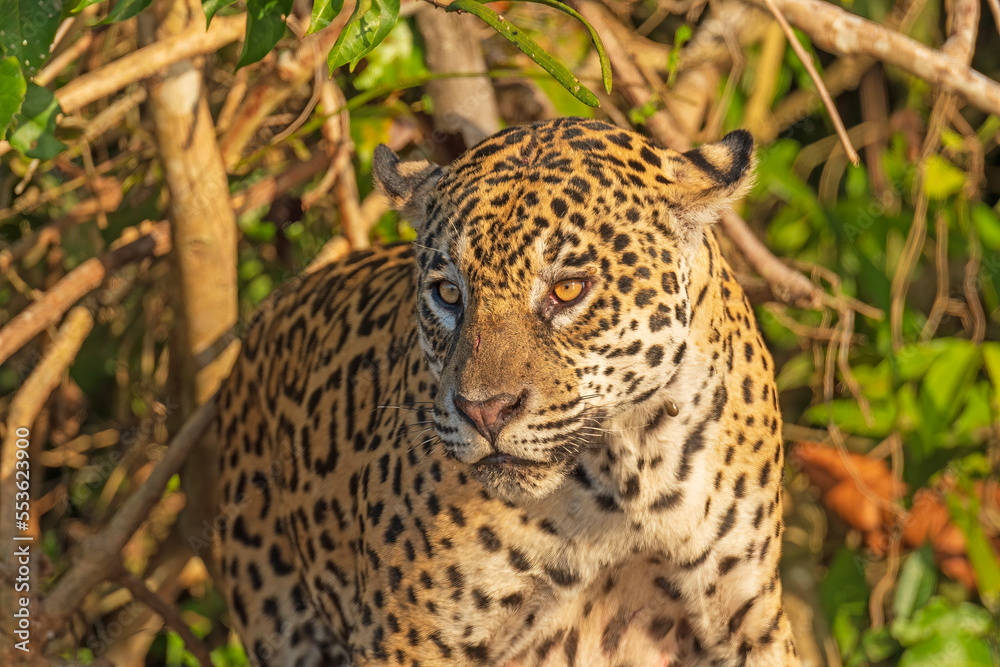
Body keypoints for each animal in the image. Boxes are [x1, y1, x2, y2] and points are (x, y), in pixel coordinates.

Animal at [213, 117, 800, 666]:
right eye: (449, 293)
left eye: (568, 288)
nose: (485, 412)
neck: (630, 475)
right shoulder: (410, 638)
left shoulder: (749, 620)